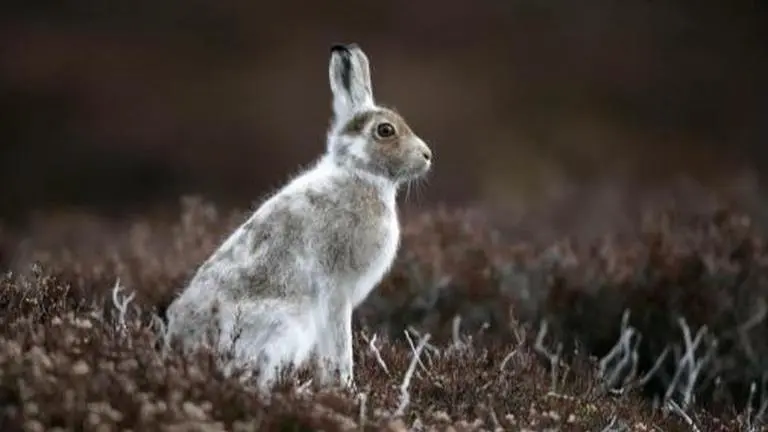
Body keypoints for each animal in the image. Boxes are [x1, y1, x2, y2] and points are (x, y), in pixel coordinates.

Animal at [163, 43, 433, 391]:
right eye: (385, 130)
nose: (427, 155)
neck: (359, 173)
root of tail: (184, 348)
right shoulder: (336, 290)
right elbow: (339, 344)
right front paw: (345, 386)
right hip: (285, 325)